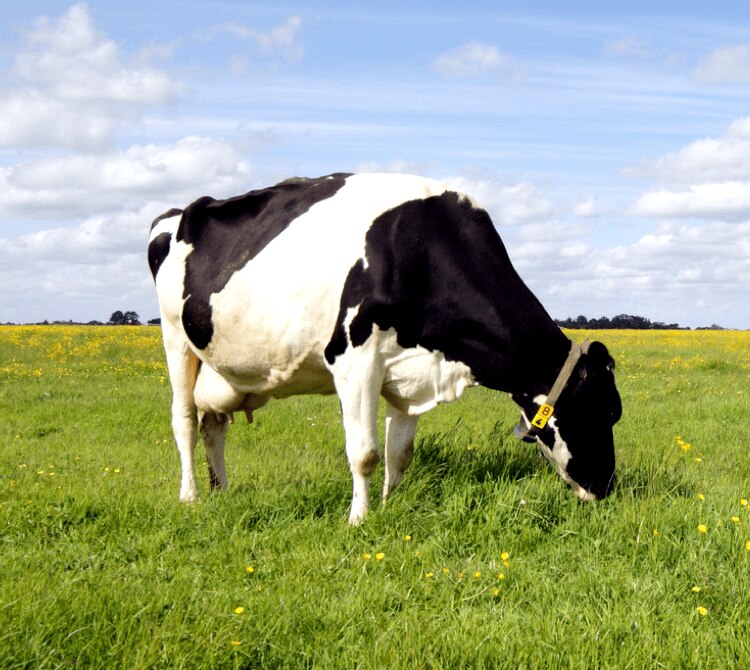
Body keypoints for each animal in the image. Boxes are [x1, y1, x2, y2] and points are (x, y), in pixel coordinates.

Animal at [148, 173, 622, 524]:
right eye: (602, 412)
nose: (606, 488)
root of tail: (177, 213)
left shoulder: (411, 372)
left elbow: (400, 452)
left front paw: (391, 504)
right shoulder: (354, 361)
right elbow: (365, 453)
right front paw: (359, 519)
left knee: (213, 425)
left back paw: (223, 490)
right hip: (175, 338)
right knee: (184, 420)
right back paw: (190, 495)